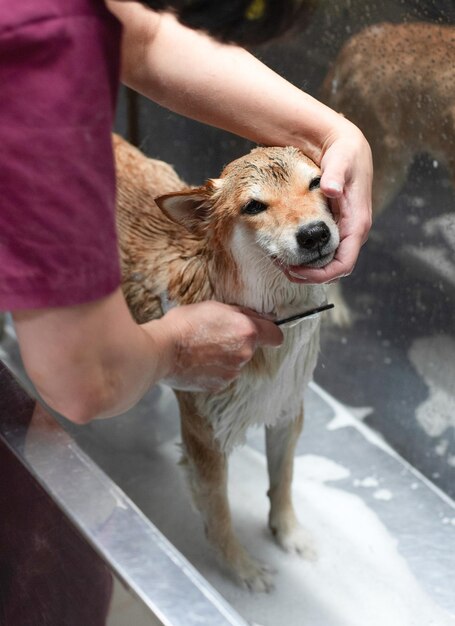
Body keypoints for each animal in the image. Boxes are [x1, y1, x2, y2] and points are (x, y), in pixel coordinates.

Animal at [114, 135, 340, 588]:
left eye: (316, 183)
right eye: (254, 206)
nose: (314, 233)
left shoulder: (287, 409)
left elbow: (283, 480)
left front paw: (289, 533)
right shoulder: (207, 440)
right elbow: (219, 516)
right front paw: (242, 569)